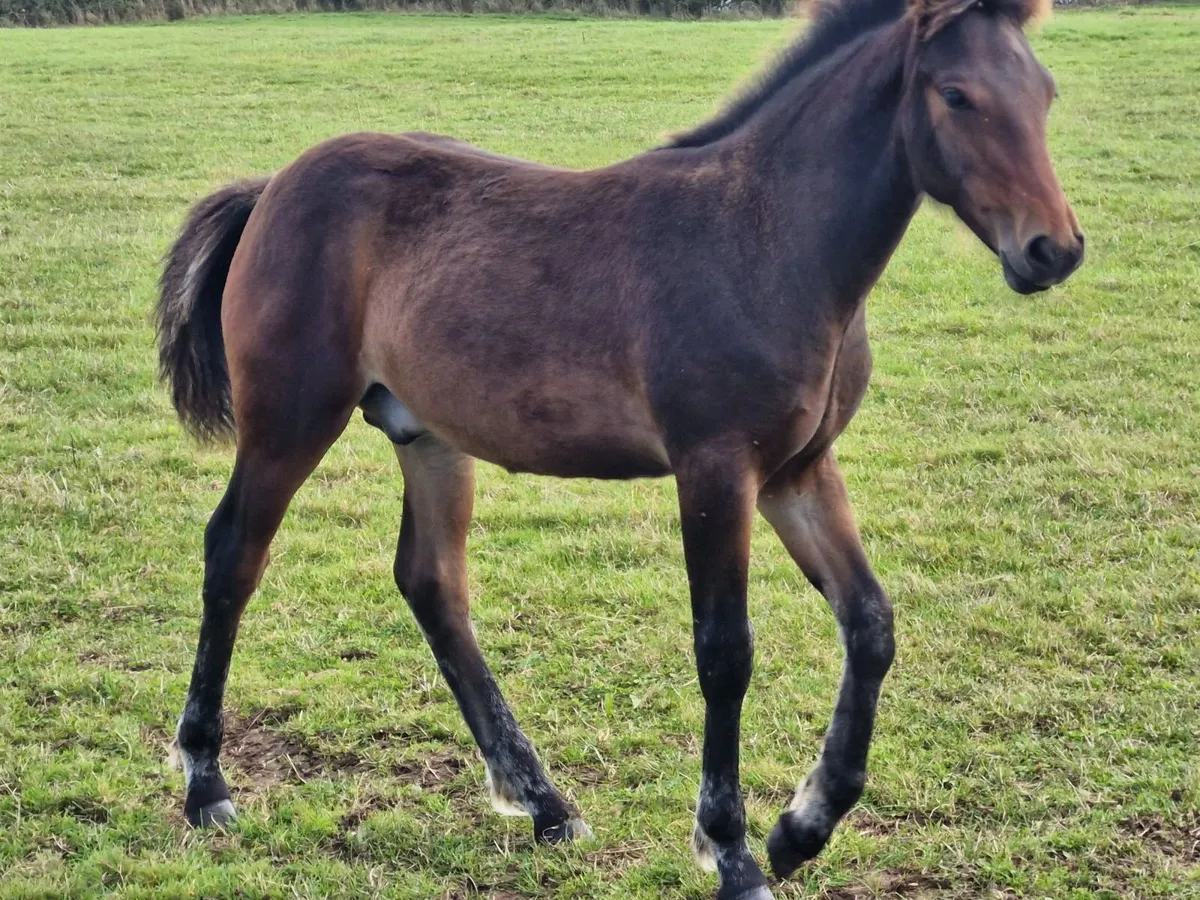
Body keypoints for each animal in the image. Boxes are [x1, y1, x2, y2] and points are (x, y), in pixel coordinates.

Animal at [155, 0, 1083, 894]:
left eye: (1046, 93)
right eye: (957, 95)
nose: (1054, 250)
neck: (769, 238)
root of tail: (274, 185)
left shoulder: (798, 472)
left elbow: (871, 624)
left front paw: (803, 827)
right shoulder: (716, 470)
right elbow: (725, 652)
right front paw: (732, 852)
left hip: (430, 438)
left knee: (432, 583)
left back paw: (544, 802)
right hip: (291, 419)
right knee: (234, 553)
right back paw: (207, 784)